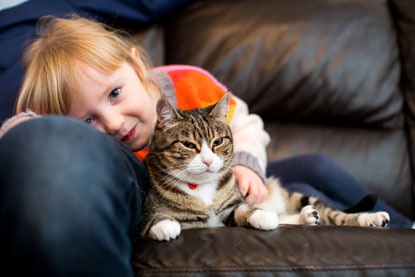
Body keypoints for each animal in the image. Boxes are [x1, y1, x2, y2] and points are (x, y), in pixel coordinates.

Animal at [141, 92, 392, 239]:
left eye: (217, 142)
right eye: (188, 144)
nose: (208, 160)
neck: (201, 189)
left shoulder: (234, 204)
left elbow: (245, 209)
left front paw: (262, 215)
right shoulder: (149, 210)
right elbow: (154, 218)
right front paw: (164, 226)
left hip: (299, 197)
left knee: (335, 215)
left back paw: (371, 218)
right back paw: (306, 217)